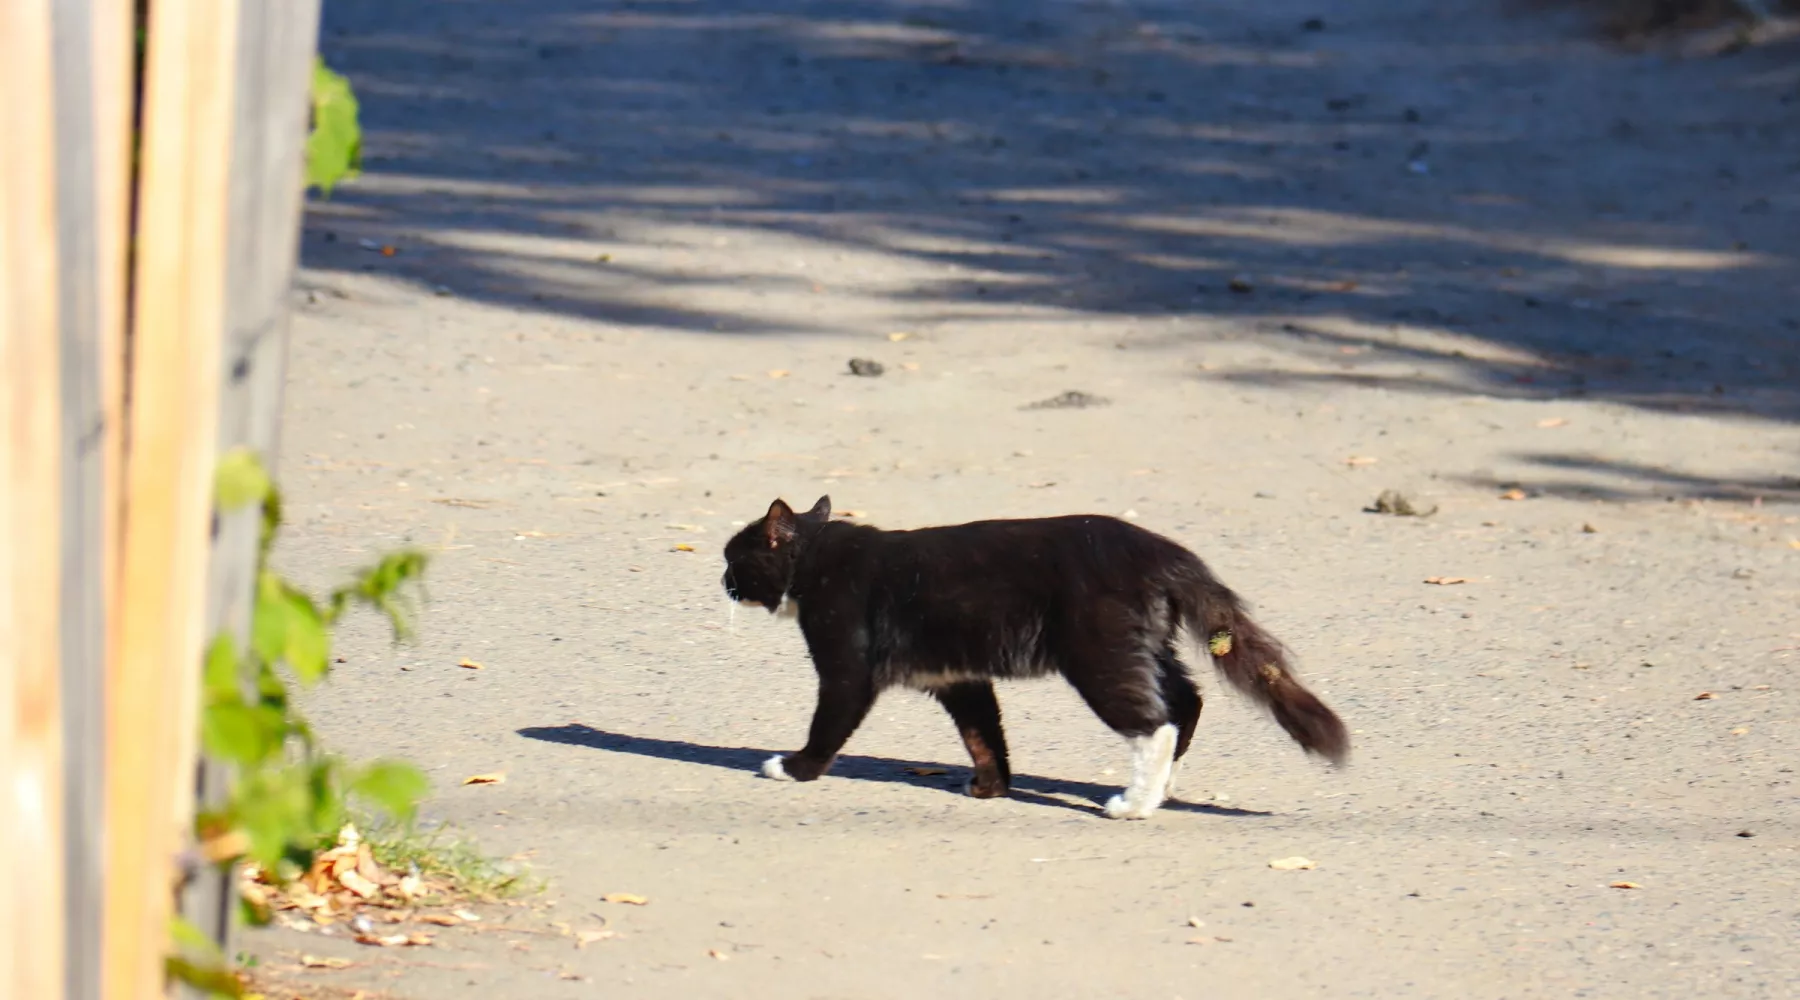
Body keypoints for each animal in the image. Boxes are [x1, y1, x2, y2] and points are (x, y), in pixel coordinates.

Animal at [720, 496, 1353, 816]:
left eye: (734, 557)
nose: (721, 580)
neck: (819, 557)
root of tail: (1162, 552)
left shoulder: (846, 669)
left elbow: (828, 725)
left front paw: (794, 768)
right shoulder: (960, 678)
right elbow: (983, 734)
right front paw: (990, 787)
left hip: (1100, 656)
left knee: (1155, 724)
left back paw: (1134, 803)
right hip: (1146, 647)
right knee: (1186, 703)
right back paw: (1162, 788)